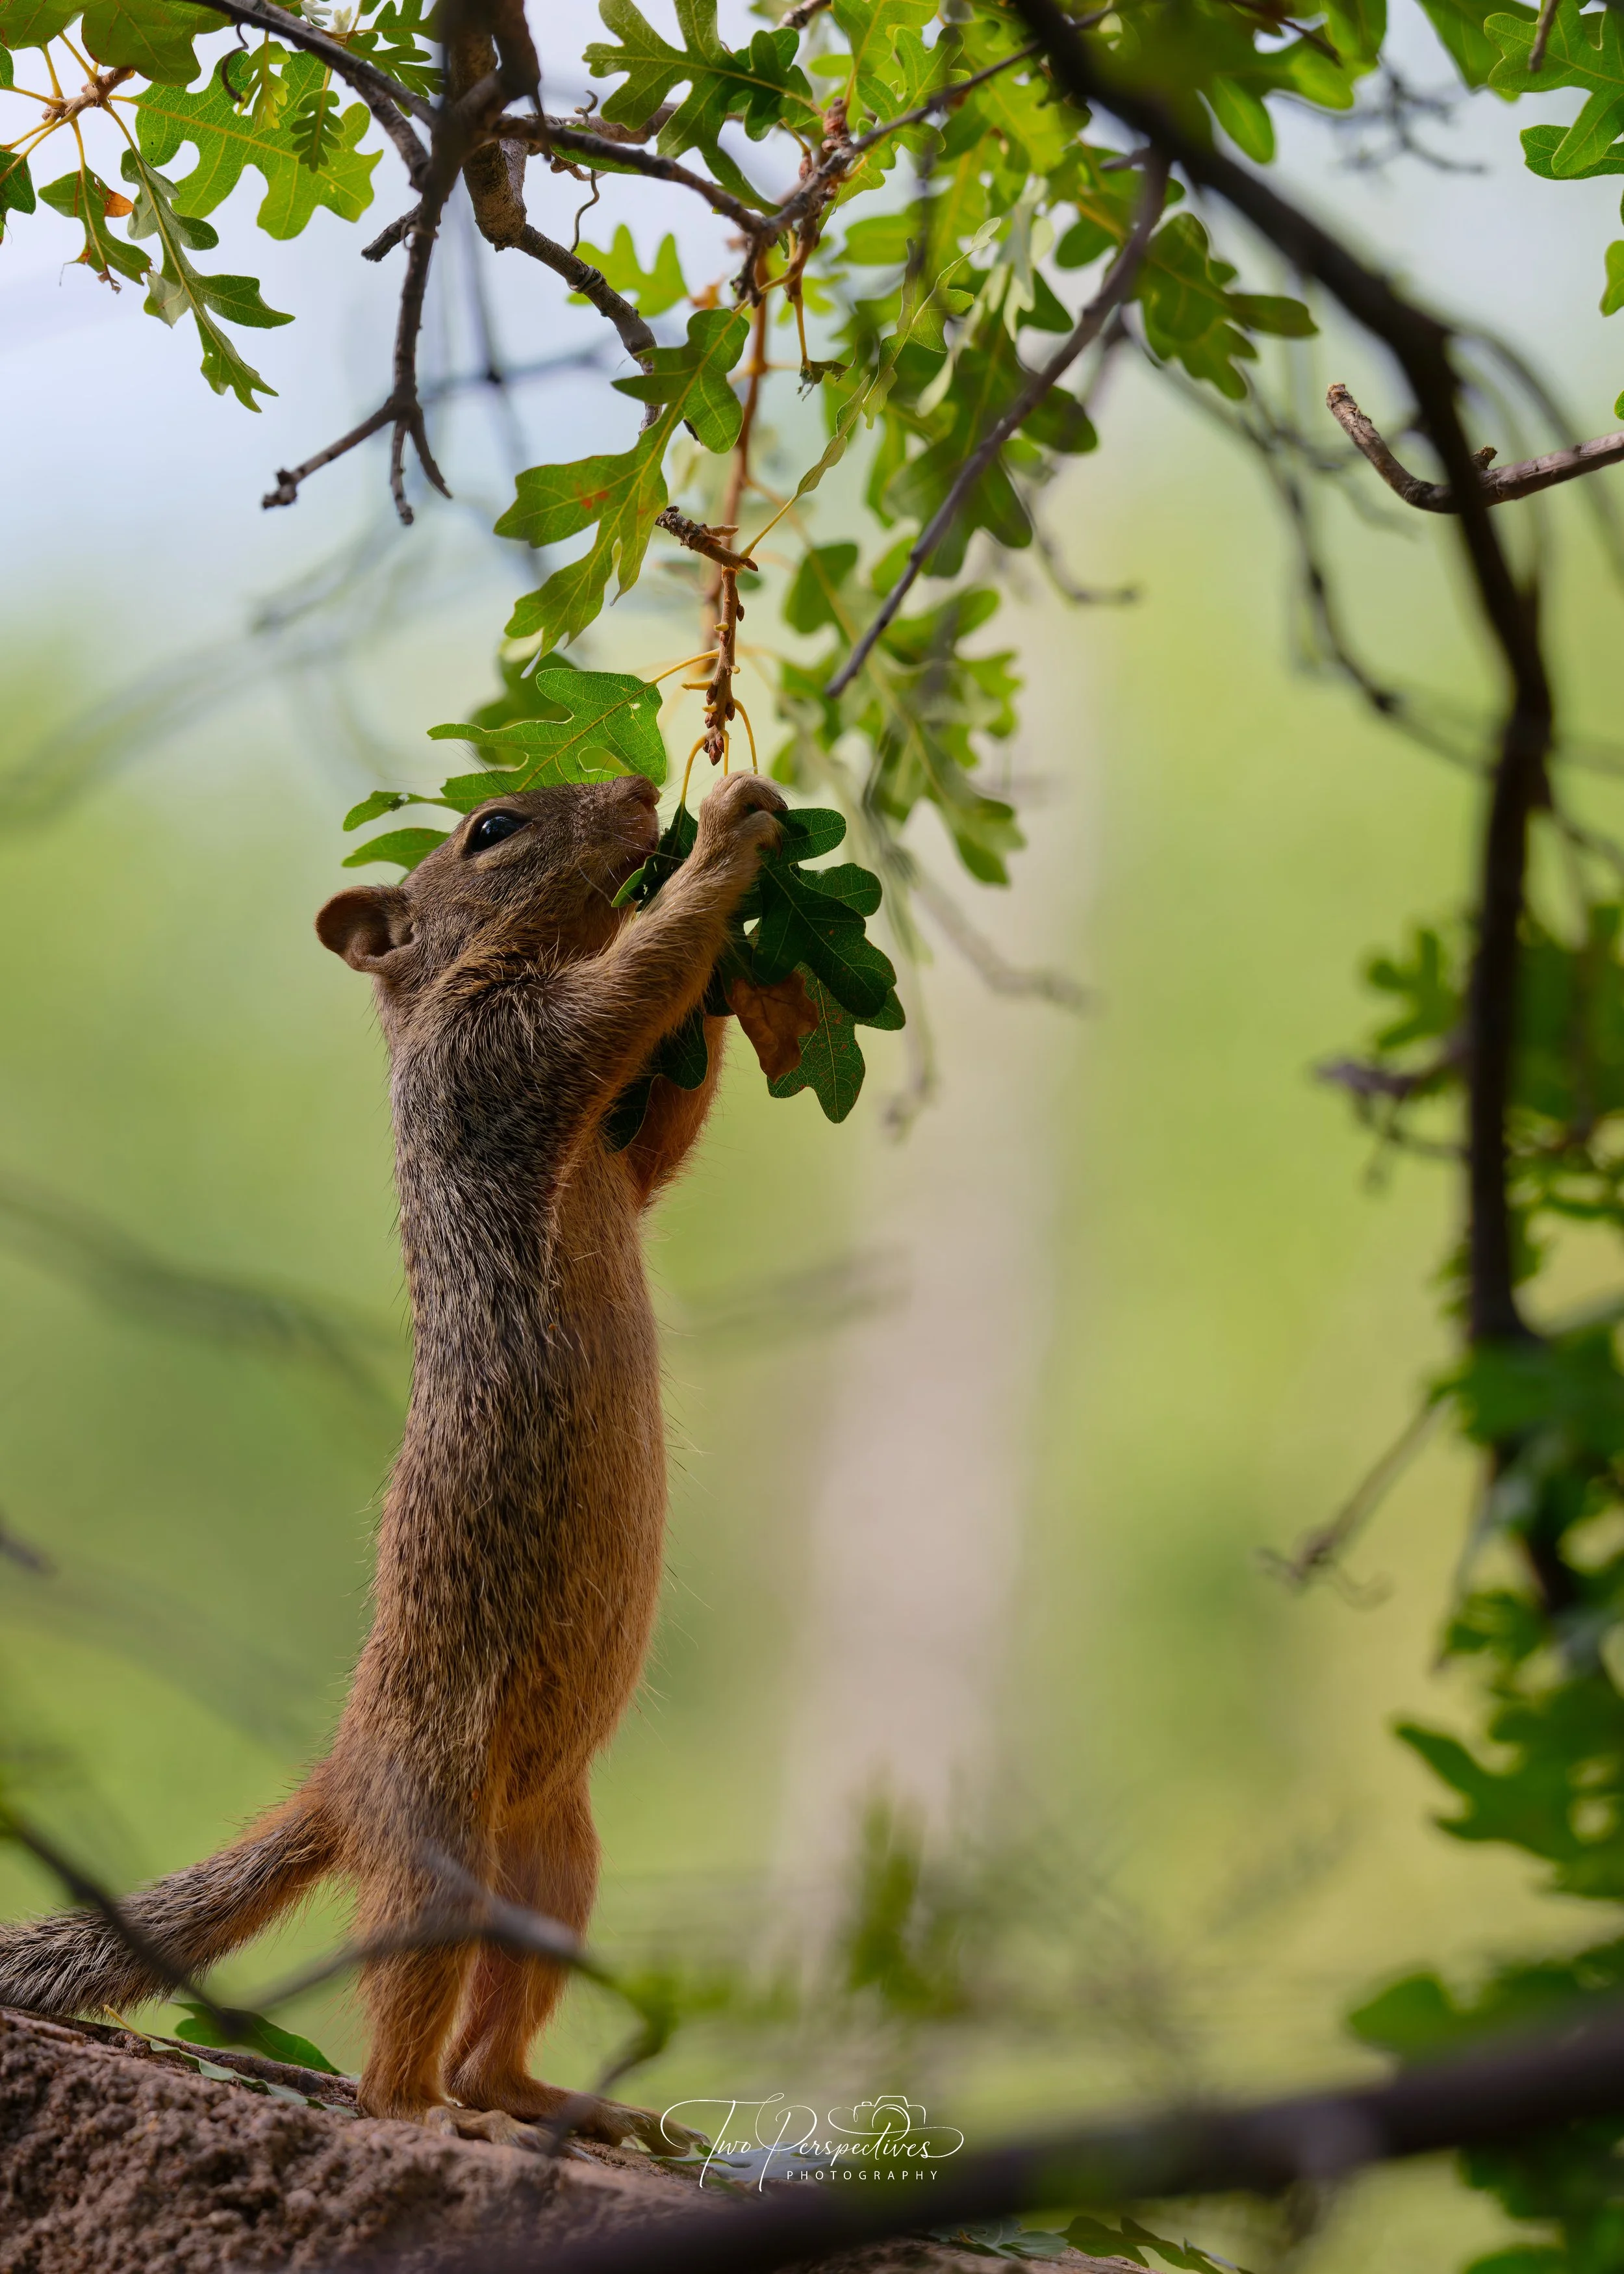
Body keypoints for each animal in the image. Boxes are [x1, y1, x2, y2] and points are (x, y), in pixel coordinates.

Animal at [0, 767, 786, 2149]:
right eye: (492, 832)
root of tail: (346, 1776)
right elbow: (622, 997)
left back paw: (553, 2101)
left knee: (496, 2029)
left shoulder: (613, 1150)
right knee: (404, 2044)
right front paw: (727, 841)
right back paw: (425, 2114)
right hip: (440, 1847)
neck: (435, 997)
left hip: (558, 1859)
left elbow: (660, 1138)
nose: (643, 784)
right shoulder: (501, 1062)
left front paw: (748, 968)